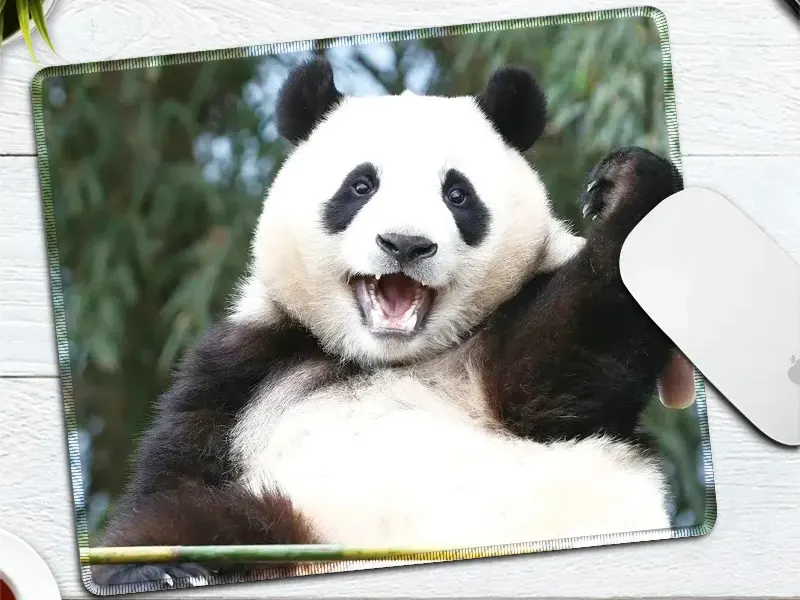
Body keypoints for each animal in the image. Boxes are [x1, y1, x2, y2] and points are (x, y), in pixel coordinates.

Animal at [93, 56, 688, 589]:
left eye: (457, 194)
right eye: (361, 186)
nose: (405, 244)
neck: (389, 356)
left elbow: (558, 373)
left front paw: (625, 185)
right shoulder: (248, 366)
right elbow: (173, 472)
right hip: (296, 520)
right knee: (202, 520)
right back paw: (158, 570)